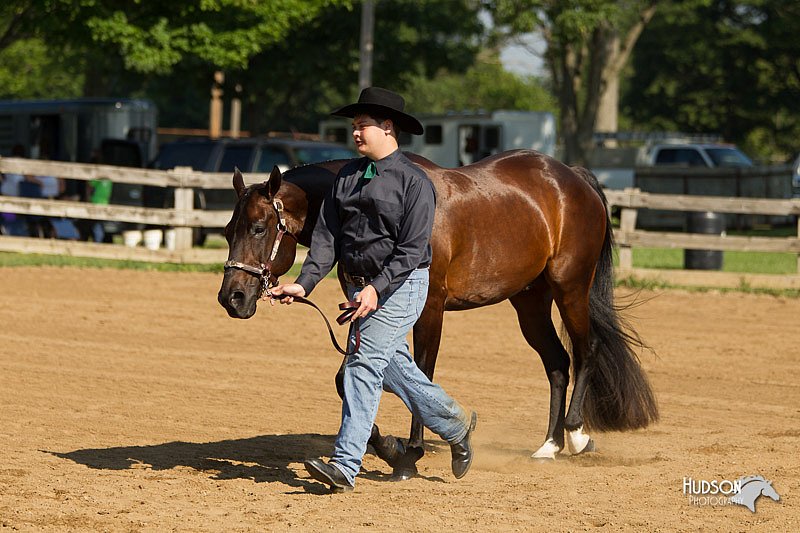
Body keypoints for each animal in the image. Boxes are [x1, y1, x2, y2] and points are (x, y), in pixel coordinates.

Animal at [219, 150, 656, 478]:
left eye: (259, 228)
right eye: (226, 230)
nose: (231, 298)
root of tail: (573, 179)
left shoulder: (429, 308)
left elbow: (422, 373)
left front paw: (410, 453)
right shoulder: (369, 308)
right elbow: (353, 376)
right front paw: (387, 445)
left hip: (570, 289)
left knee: (586, 350)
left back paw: (577, 435)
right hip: (529, 301)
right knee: (557, 363)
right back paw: (549, 445)